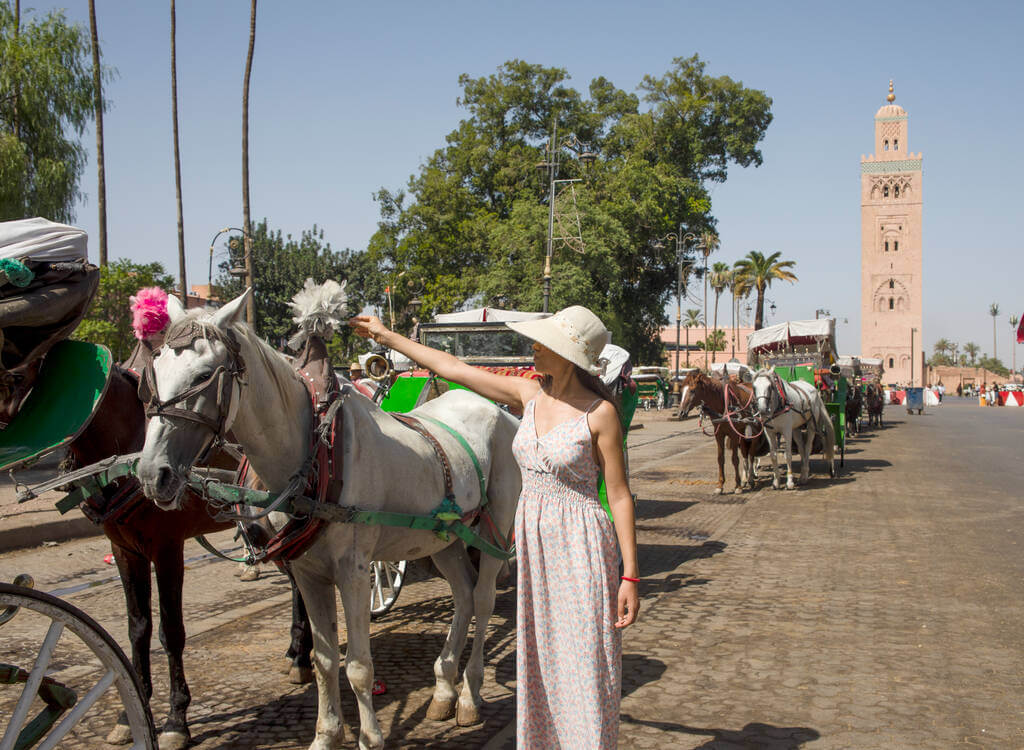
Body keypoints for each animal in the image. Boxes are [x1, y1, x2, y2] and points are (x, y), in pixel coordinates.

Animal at [61, 360, 309, 745]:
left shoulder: (167, 549)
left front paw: (176, 719)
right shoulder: (124, 551)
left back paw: (301, 657)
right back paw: (297, 653)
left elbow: (171, 632)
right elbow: (138, 628)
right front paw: (131, 711)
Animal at [136, 290, 520, 750]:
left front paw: (370, 737)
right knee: (463, 594)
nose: (151, 474)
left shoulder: (353, 571)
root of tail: (495, 407)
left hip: (495, 528)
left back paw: (469, 695)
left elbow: (358, 665)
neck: (315, 451)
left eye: (204, 375)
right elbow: (324, 660)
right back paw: (444, 689)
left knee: (482, 598)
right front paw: (326, 734)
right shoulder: (307, 572)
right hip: (442, 538)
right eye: (153, 373)